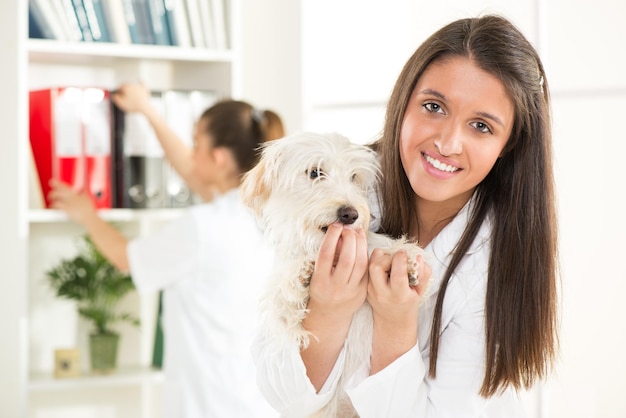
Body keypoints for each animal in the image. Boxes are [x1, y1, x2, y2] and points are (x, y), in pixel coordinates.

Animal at [239, 132, 424, 416]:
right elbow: (282, 301)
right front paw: (299, 275)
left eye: (354, 177)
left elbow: (377, 245)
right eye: (315, 172)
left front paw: (406, 256)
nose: (351, 214)